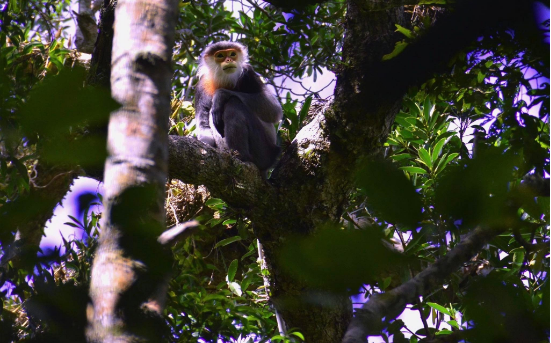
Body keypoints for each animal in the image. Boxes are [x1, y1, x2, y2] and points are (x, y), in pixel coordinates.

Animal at [194, 41, 282, 173]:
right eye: (220, 55)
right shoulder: (202, 87)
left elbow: (274, 110)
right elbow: (203, 125)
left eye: (232, 54)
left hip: (264, 150)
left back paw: (241, 157)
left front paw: (220, 95)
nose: (229, 59)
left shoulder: (248, 72)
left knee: (232, 103)